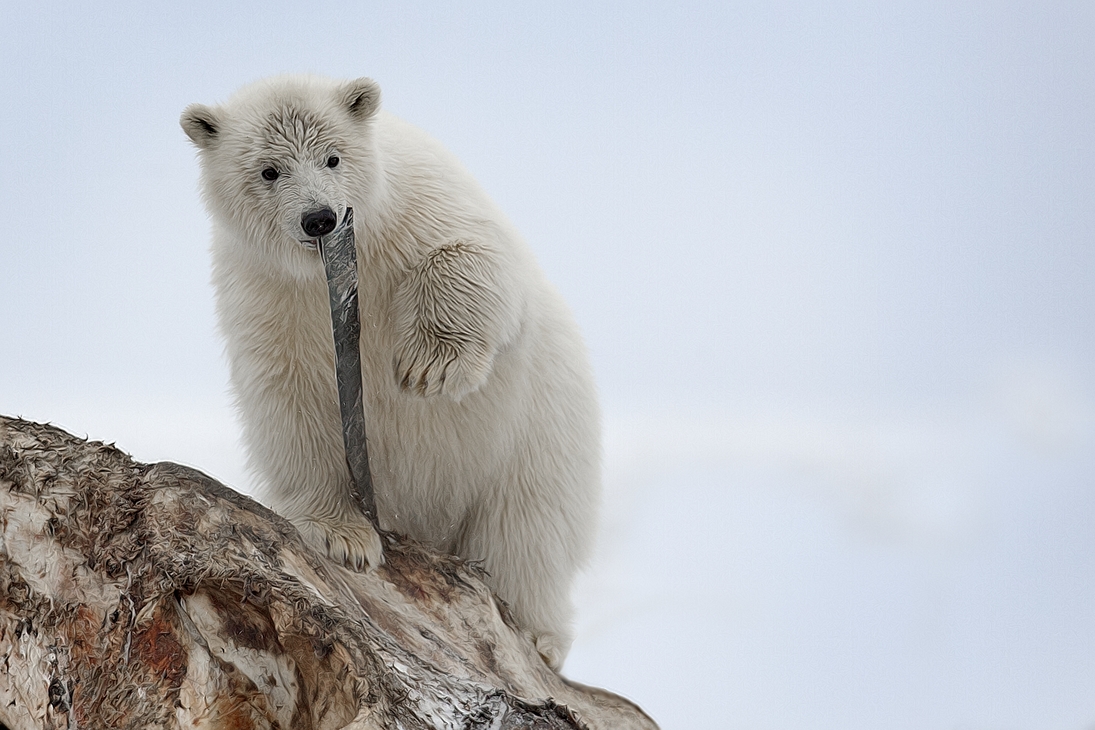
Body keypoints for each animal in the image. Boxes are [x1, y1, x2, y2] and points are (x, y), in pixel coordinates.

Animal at [182, 75, 604, 669]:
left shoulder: (418, 202)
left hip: (538, 440)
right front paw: (344, 538)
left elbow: (472, 254)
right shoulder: (265, 294)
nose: (319, 218)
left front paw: (429, 367)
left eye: (333, 157)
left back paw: (538, 637)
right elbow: (289, 400)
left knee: (526, 535)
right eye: (268, 170)